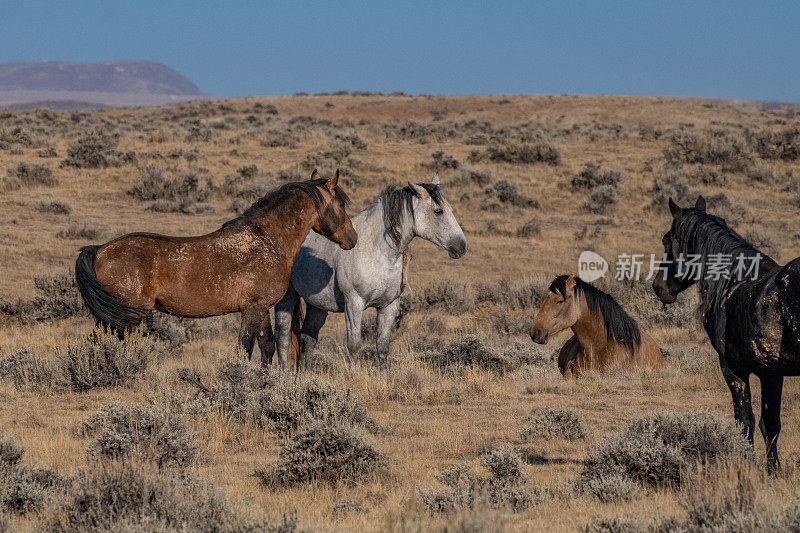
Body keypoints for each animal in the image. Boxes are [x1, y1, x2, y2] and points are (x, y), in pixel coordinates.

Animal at [75, 169, 356, 362]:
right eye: (341, 204)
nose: (353, 239)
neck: (267, 240)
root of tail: (100, 249)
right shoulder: (251, 309)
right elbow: (244, 349)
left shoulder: (261, 308)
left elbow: (267, 346)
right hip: (126, 316)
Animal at [274, 175, 468, 370]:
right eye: (438, 211)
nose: (462, 246)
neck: (377, 253)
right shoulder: (354, 304)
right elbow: (354, 345)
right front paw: (353, 375)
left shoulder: (389, 306)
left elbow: (382, 346)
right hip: (287, 299)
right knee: (283, 338)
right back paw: (283, 374)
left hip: (318, 304)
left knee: (308, 338)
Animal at [652, 195, 800, 470]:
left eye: (666, 240)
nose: (659, 287)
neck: (734, 282)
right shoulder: (771, 373)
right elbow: (770, 424)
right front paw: (772, 470)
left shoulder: (732, 369)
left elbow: (744, 421)